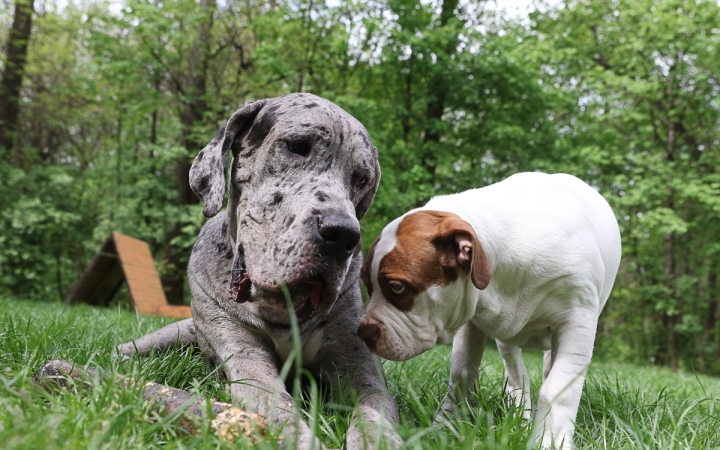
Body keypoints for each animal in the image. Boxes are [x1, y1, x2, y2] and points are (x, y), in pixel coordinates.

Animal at [358, 171, 620, 446]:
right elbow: (462, 373)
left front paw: (551, 441)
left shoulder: (578, 321)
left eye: (397, 288)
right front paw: (445, 427)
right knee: (516, 374)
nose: (364, 332)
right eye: (367, 284)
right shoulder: (470, 317)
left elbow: (557, 389)